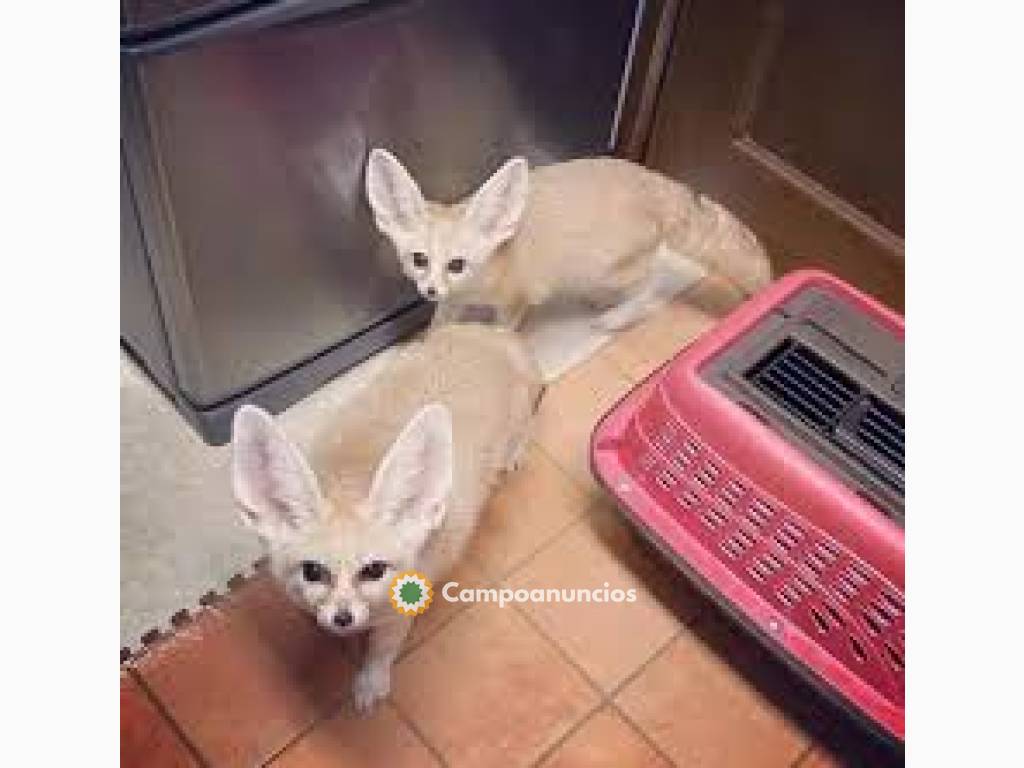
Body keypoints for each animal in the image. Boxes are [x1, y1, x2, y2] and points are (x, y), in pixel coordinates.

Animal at [228, 321, 540, 712]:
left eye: (374, 570)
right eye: (312, 571)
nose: (342, 619)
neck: (351, 478)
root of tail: (494, 332)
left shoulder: (400, 609)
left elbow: (382, 649)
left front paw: (371, 680)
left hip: (519, 418)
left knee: (523, 432)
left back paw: (513, 455)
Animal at [364, 150, 770, 331]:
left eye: (457, 264)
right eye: (419, 259)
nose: (429, 290)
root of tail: (653, 180)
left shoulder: (515, 303)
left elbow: (501, 331)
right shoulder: (452, 303)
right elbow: (439, 327)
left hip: (610, 269)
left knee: (652, 288)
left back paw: (616, 317)